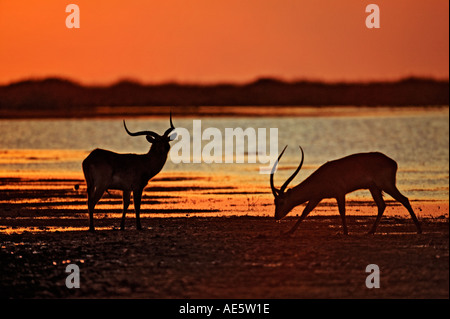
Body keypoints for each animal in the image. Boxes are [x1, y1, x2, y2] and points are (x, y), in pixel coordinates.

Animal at [270, 147, 422, 235]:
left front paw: (345, 232)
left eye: (281, 201)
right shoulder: (316, 197)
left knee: (404, 199)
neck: (322, 176)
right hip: (374, 188)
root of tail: (393, 162)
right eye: (275, 201)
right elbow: (305, 212)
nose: (276, 217)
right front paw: (289, 231)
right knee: (382, 205)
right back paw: (370, 232)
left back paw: (419, 229)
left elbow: (342, 211)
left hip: (387, 185)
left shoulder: (339, 193)